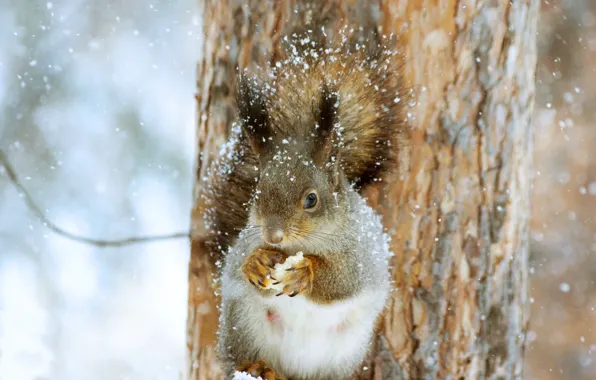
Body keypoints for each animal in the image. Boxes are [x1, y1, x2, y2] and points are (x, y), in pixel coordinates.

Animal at [215, 35, 410, 380]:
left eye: (311, 199)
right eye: (257, 193)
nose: (273, 236)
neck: (302, 244)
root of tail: (294, 370)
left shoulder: (362, 254)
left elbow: (344, 280)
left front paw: (305, 273)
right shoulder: (243, 244)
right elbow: (240, 263)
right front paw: (256, 263)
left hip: (343, 351)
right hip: (243, 323)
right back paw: (259, 367)